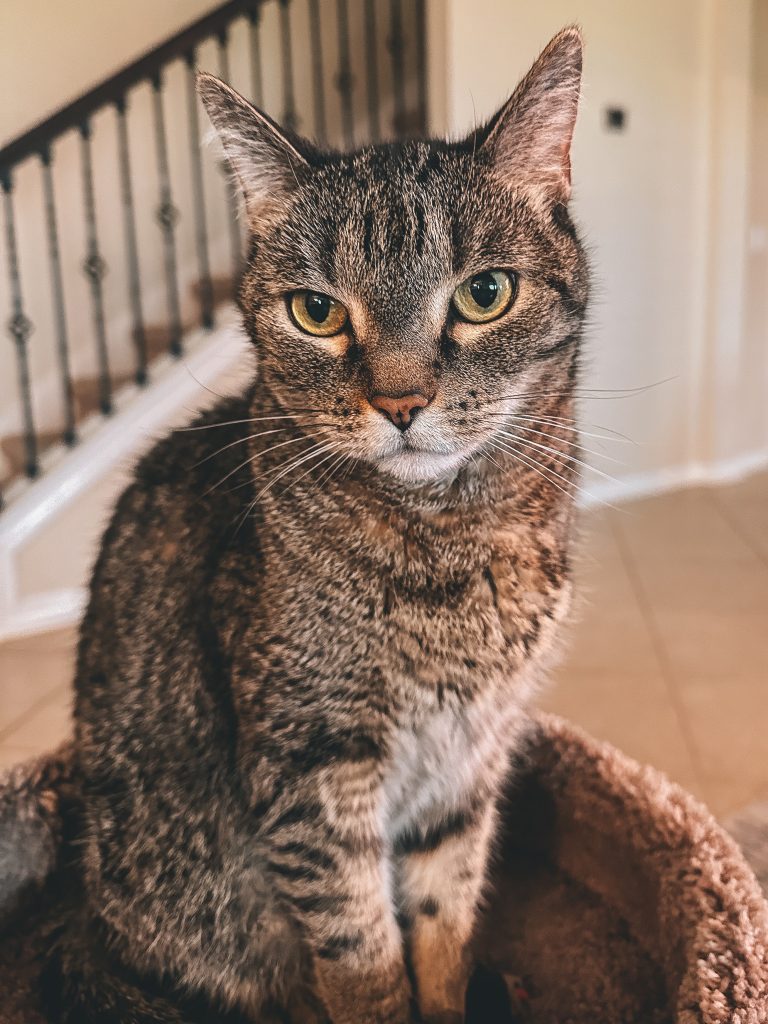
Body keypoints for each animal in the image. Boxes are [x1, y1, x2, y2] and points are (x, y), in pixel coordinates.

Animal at [46, 24, 589, 1024]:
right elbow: (364, 961)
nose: (402, 403)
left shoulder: (467, 764)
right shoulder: (311, 771)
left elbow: (444, 927)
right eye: (318, 311)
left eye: (485, 294)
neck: (450, 542)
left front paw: (450, 993)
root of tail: (87, 927)